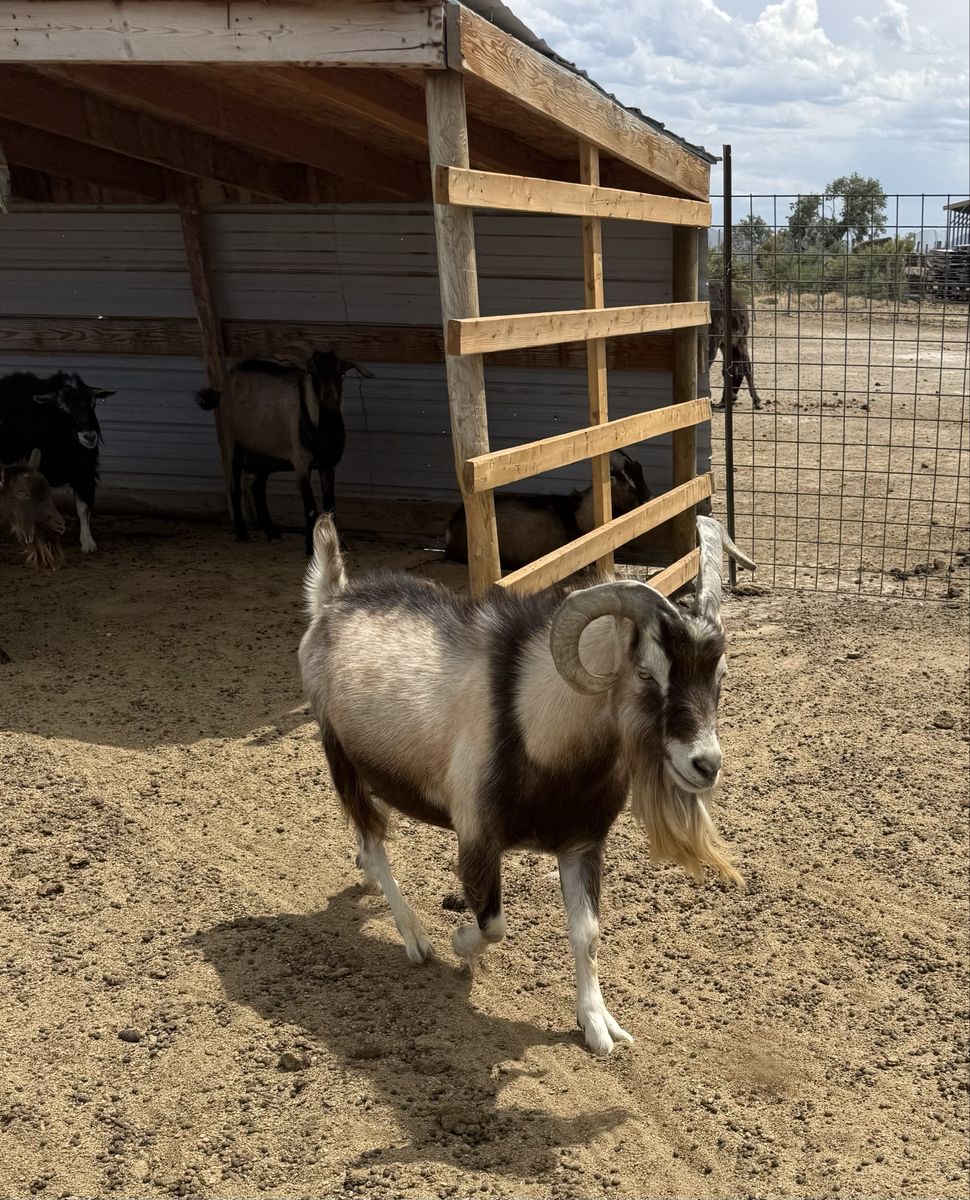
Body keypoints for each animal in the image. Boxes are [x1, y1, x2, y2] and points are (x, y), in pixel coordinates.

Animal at [0, 371, 113, 552]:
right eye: (61, 407)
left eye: (93, 404)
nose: (89, 436)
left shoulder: (84, 471)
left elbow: (83, 508)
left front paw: (88, 542)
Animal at [196, 343, 373, 554]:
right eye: (311, 373)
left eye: (342, 373)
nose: (330, 404)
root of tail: (222, 391)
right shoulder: (301, 463)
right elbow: (310, 507)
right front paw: (310, 547)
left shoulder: (328, 464)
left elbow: (330, 505)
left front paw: (340, 545)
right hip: (231, 442)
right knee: (235, 487)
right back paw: (242, 534)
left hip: (264, 455)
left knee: (257, 488)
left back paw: (272, 534)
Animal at [298, 513, 755, 1056]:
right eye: (646, 673)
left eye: (720, 673)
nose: (706, 763)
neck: (533, 723)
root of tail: (329, 602)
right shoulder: (476, 836)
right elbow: (493, 923)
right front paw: (459, 943)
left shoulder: (582, 843)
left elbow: (587, 933)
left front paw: (599, 1025)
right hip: (339, 756)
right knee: (375, 841)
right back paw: (415, 936)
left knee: (371, 838)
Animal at [708, 281, 764, 410]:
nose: (734, 397)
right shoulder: (740, 339)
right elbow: (745, 367)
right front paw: (757, 400)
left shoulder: (727, 343)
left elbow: (727, 369)